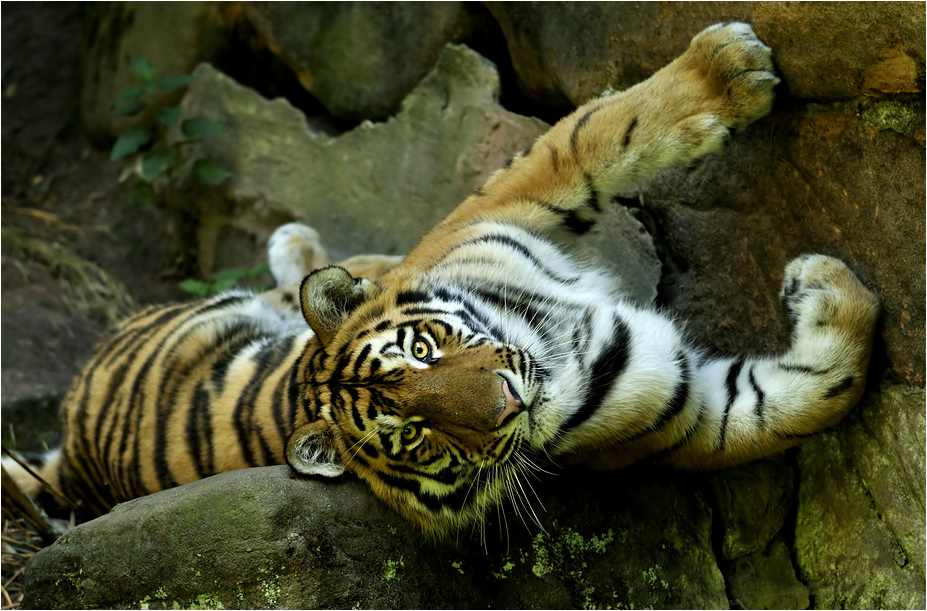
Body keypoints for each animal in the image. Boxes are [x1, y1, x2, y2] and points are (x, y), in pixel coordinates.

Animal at [5, 23, 879, 537]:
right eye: (415, 433)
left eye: (423, 349)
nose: (508, 402)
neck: (556, 345)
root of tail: (75, 444)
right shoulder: (689, 410)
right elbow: (797, 404)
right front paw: (833, 289)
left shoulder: (502, 200)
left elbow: (602, 130)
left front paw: (727, 70)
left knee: (325, 280)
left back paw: (305, 253)